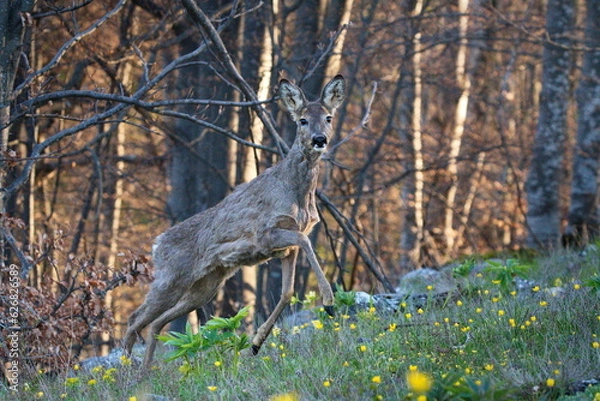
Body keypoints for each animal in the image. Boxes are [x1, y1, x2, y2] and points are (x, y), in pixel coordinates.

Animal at [123, 73, 346, 368]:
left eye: (329, 117)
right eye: (302, 120)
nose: (319, 139)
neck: (295, 192)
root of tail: (157, 245)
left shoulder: (286, 248)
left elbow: (287, 291)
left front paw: (256, 343)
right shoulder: (266, 233)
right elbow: (305, 241)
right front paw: (329, 302)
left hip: (205, 286)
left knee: (156, 322)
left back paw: (145, 372)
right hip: (171, 278)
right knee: (135, 318)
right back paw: (128, 371)